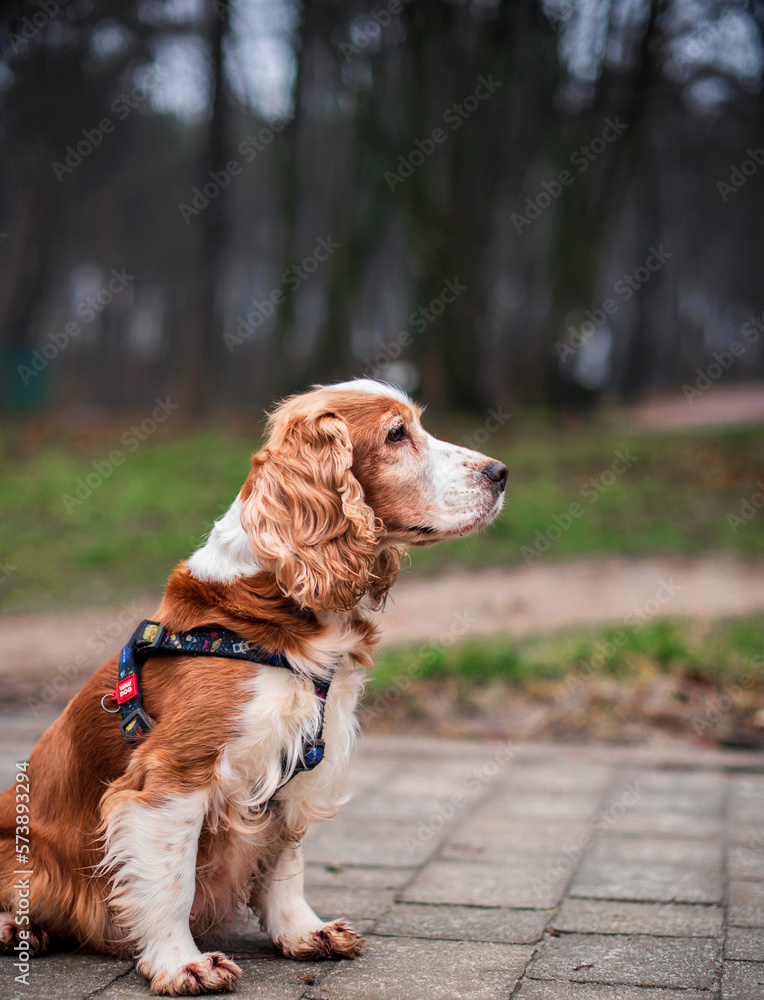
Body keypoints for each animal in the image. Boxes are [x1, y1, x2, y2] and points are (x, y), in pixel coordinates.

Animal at [0, 378, 508, 996]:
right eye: (396, 434)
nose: (501, 472)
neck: (275, 613)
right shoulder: (174, 774)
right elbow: (170, 882)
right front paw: (182, 963)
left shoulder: (298, 761)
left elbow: (284, 864)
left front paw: (303, 932)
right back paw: (17, 928)